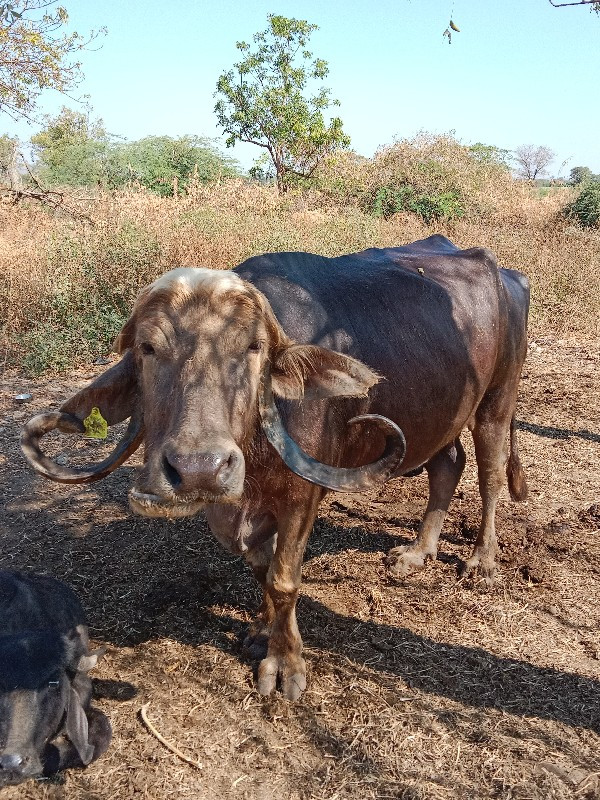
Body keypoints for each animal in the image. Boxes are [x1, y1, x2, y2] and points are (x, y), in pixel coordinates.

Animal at [22, 236, 528, 700]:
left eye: (253, 348)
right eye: (148, 348)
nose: (199, 469)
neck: (256, 448)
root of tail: (504, 273)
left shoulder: (301, 497)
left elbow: (284, 579)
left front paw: (284, 664)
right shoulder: (229, 508)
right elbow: (260, 568)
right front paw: (262, 631)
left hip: (497, 400)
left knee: (490, 473)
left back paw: (483, 560)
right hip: (441, 413)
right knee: (448, 464)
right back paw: (418, 551)